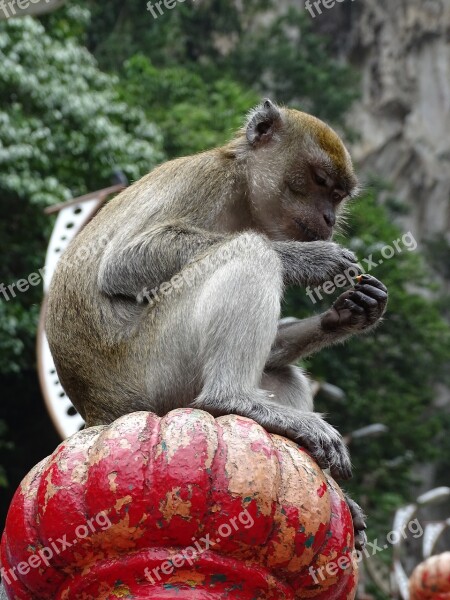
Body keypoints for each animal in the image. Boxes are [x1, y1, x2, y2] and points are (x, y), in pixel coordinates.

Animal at [45, 98, 386, 548]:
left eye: (338, 195)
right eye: (320, 181)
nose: (330, 218)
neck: (242, 191)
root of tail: (100, 411)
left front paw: (351, 311)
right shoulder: (206, 183)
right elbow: (125, 263)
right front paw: (311, 260)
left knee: (280, 369)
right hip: (151, 369)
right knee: (250, 250)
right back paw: (233, 399)